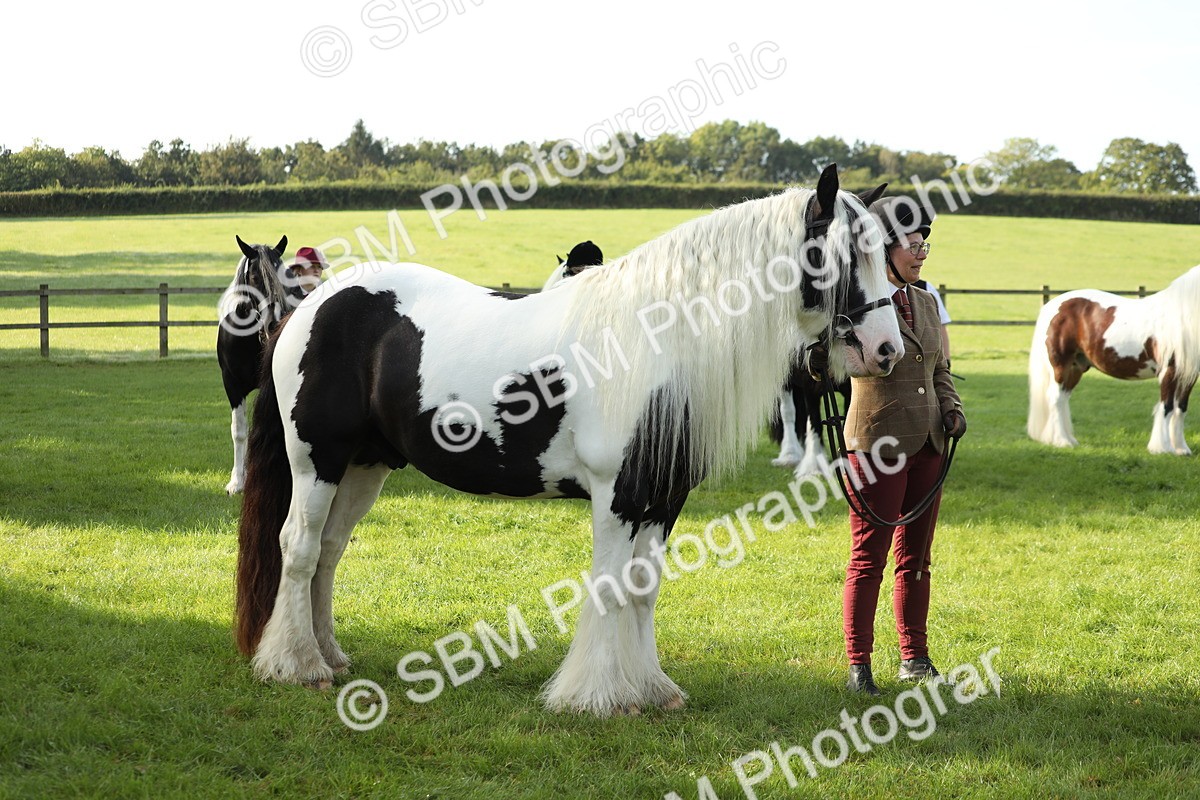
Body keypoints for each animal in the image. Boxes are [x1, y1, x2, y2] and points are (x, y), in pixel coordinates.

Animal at [216, 235, 303, 494]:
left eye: (284, 275)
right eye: (255, 277)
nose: (275, 321)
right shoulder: (232, 385)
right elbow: (239, 431)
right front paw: (237, 481)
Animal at [233, 166, 900, 716]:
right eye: (844, 254)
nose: (885, 350)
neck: (656, 338)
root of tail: (311, 306)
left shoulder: (663, 498)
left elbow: (643, 588)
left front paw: (651, 690)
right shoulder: (616, 495)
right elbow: (608, 586)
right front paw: (596, 696)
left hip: (364, 465)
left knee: (328, 550)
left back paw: (328, 655)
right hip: (316, 461)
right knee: (298, 546)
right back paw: (297, 666)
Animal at [1028, 265, 1200, 454]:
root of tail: (1052, 306)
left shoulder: (1188, 375)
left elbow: (1180, 408)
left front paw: (1181, 449)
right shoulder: (1169, 371)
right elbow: (1167, 407)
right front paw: (1162, 448)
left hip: (1075, 368)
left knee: (1064, 398)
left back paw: (1069, 440)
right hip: (1060, 366)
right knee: (1056, 399)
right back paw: (1062, 441)